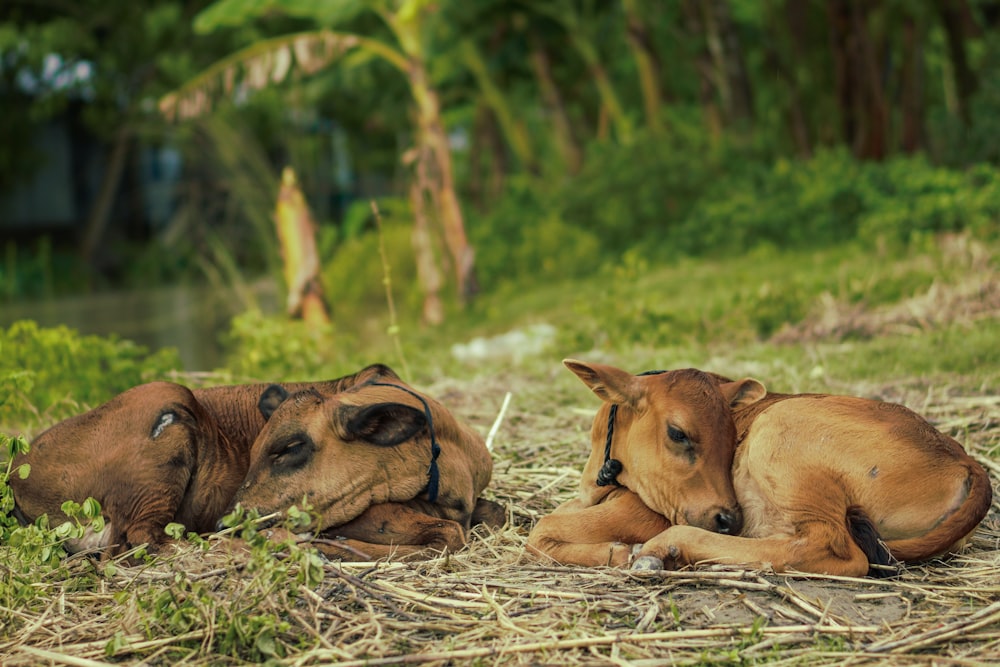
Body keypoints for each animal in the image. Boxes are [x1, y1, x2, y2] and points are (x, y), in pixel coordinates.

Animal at [10, 366, 504, 560]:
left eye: (288, 447)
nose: (229, 518)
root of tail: (19, 469)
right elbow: (446, 535)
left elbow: (493, 515)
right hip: (165, 414)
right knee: (146, 542)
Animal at [528, 362, 996, 576]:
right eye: (678, 433)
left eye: (733, 436)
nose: (728, 518)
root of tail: (966, 459)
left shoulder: (645, 510)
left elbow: (539, 531)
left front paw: (617, 551)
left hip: (783, 430)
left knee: (834, 550)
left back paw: (666, 548)